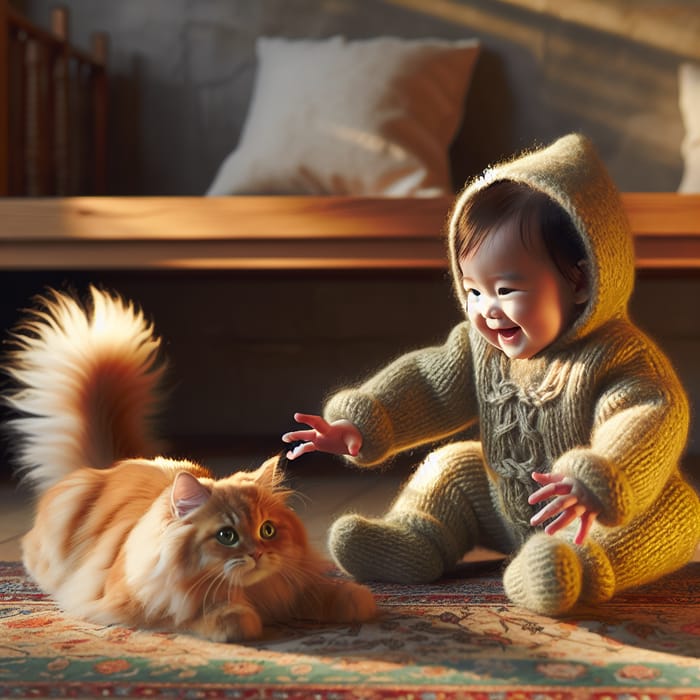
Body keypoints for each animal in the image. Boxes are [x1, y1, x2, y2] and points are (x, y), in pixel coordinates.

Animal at [5, 284, 378, 640]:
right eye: (226, 536)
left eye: (268, 530)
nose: (257, 553)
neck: (253, 595)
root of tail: (115, 464)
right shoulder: (135, 603)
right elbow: (200, 615)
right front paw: (236, 620)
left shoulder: (290, 585)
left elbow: (332, 594)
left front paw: (355, 600)